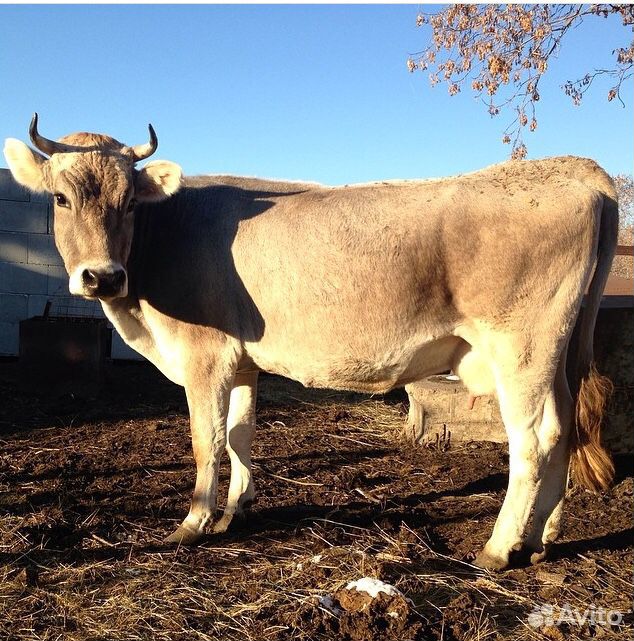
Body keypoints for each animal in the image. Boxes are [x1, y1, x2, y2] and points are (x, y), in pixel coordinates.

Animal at [3, 115, 616, 568]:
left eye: (129, 200)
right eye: (60, 198)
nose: (102, 277)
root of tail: (576, 168)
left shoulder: (204, 355)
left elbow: (206, 440)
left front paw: (193, 523)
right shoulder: (242, 361)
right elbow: (240, 436)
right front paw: (236, 512)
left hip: (521, 348)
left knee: (534, 438)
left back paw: (499, 546)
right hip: (554, 353)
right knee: (565, 426)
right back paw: (541, 538)